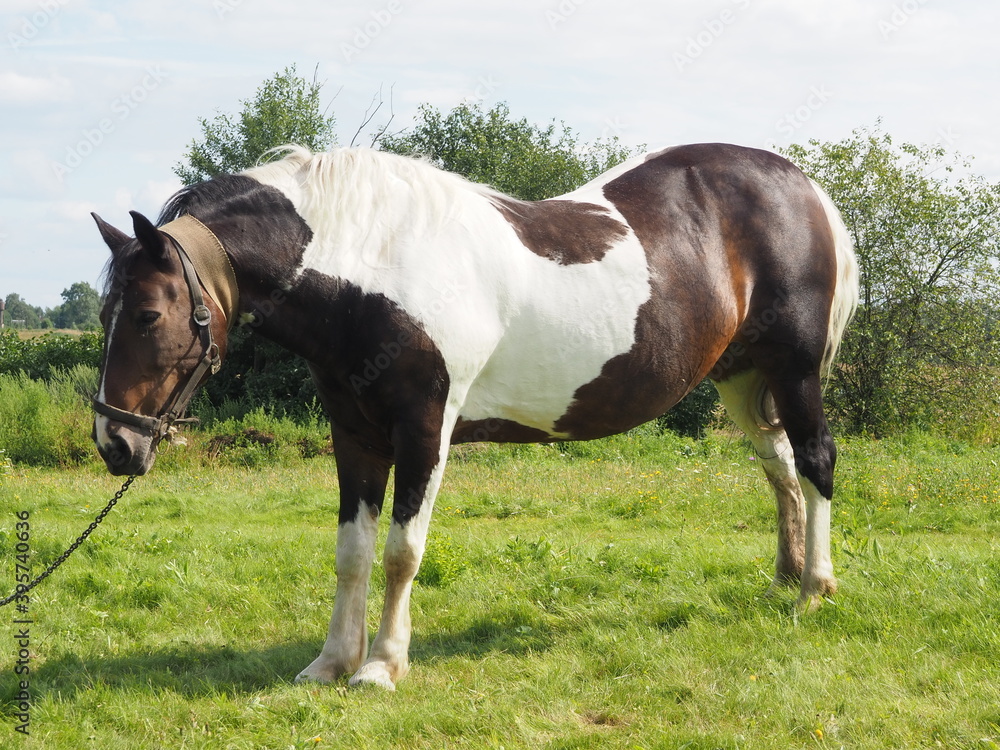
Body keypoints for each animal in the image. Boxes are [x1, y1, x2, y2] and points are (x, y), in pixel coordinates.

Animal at [91, 143, 858, 690]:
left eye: (148, 314)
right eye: (105, 313)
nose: (115, 442)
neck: (377, 263)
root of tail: (801, 186)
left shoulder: (425, 428)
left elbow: (401, 551)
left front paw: (382, 666)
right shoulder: (355, 434)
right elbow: (351, 553)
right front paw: (332, 662)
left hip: (793, 371)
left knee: (815, 461)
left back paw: (814, 592)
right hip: (742, 377)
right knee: (779, 467)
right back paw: (786, 576)